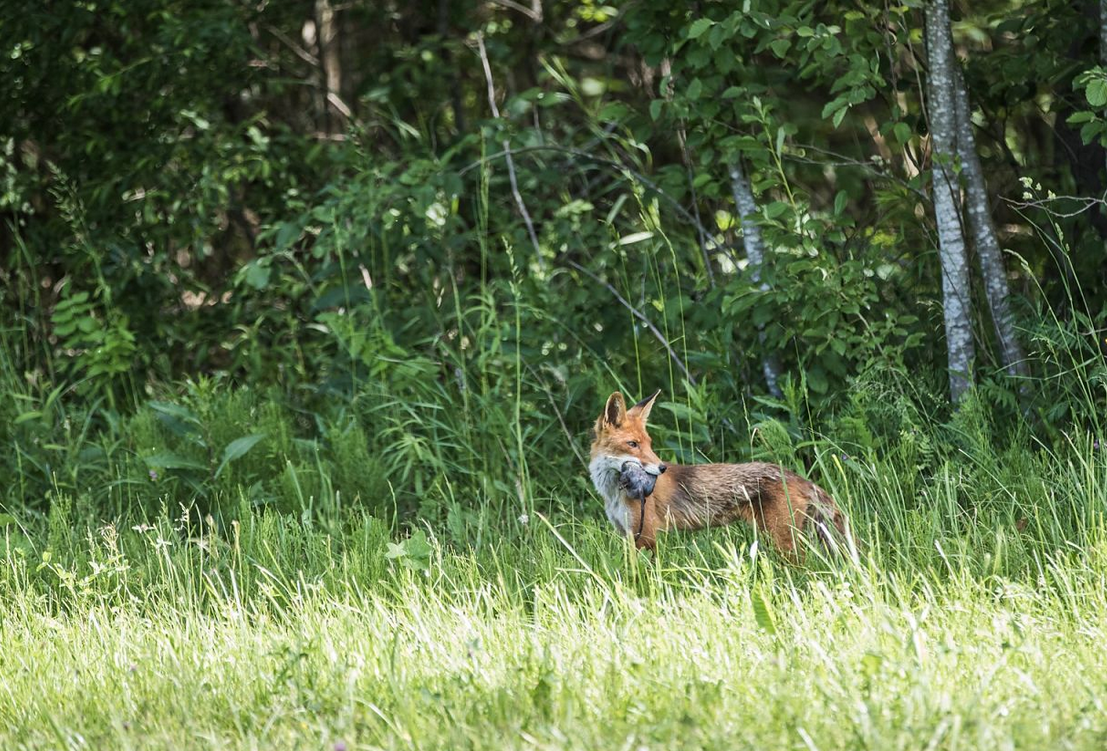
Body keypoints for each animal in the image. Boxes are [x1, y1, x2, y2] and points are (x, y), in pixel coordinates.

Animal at [593, 392, 850, 556]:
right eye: (633, 444)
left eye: (649, 444)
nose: (662, 468)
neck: (613, 494)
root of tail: (792, 475)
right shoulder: (626, 534)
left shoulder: (646, 535)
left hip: (782, 540)